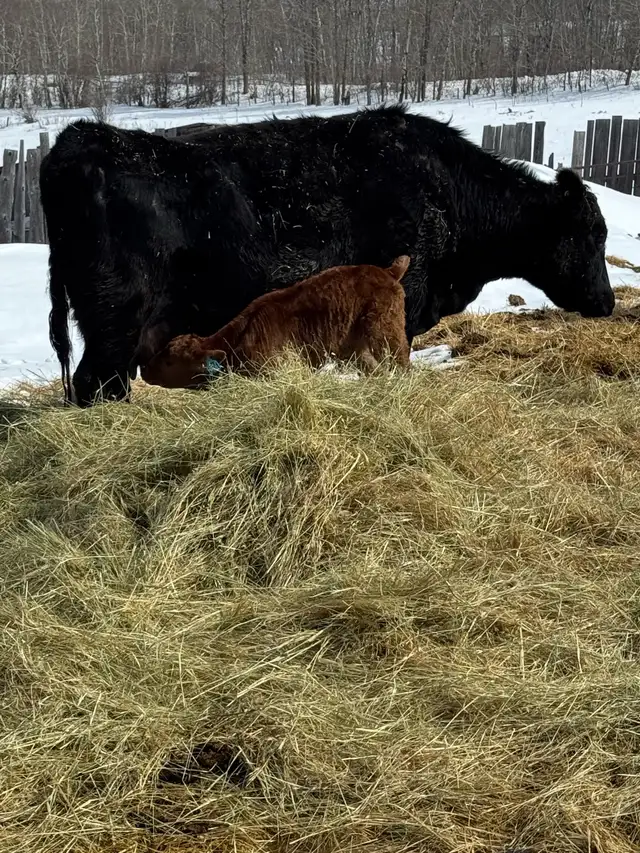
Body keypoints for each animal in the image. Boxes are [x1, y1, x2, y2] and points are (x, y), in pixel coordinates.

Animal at [140, 256, 411, 389]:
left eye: (169, 361)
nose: (144, 369)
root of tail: (386, 271)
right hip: (356, 347)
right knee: (375, 368)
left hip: (385, 327)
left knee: (402, 360)